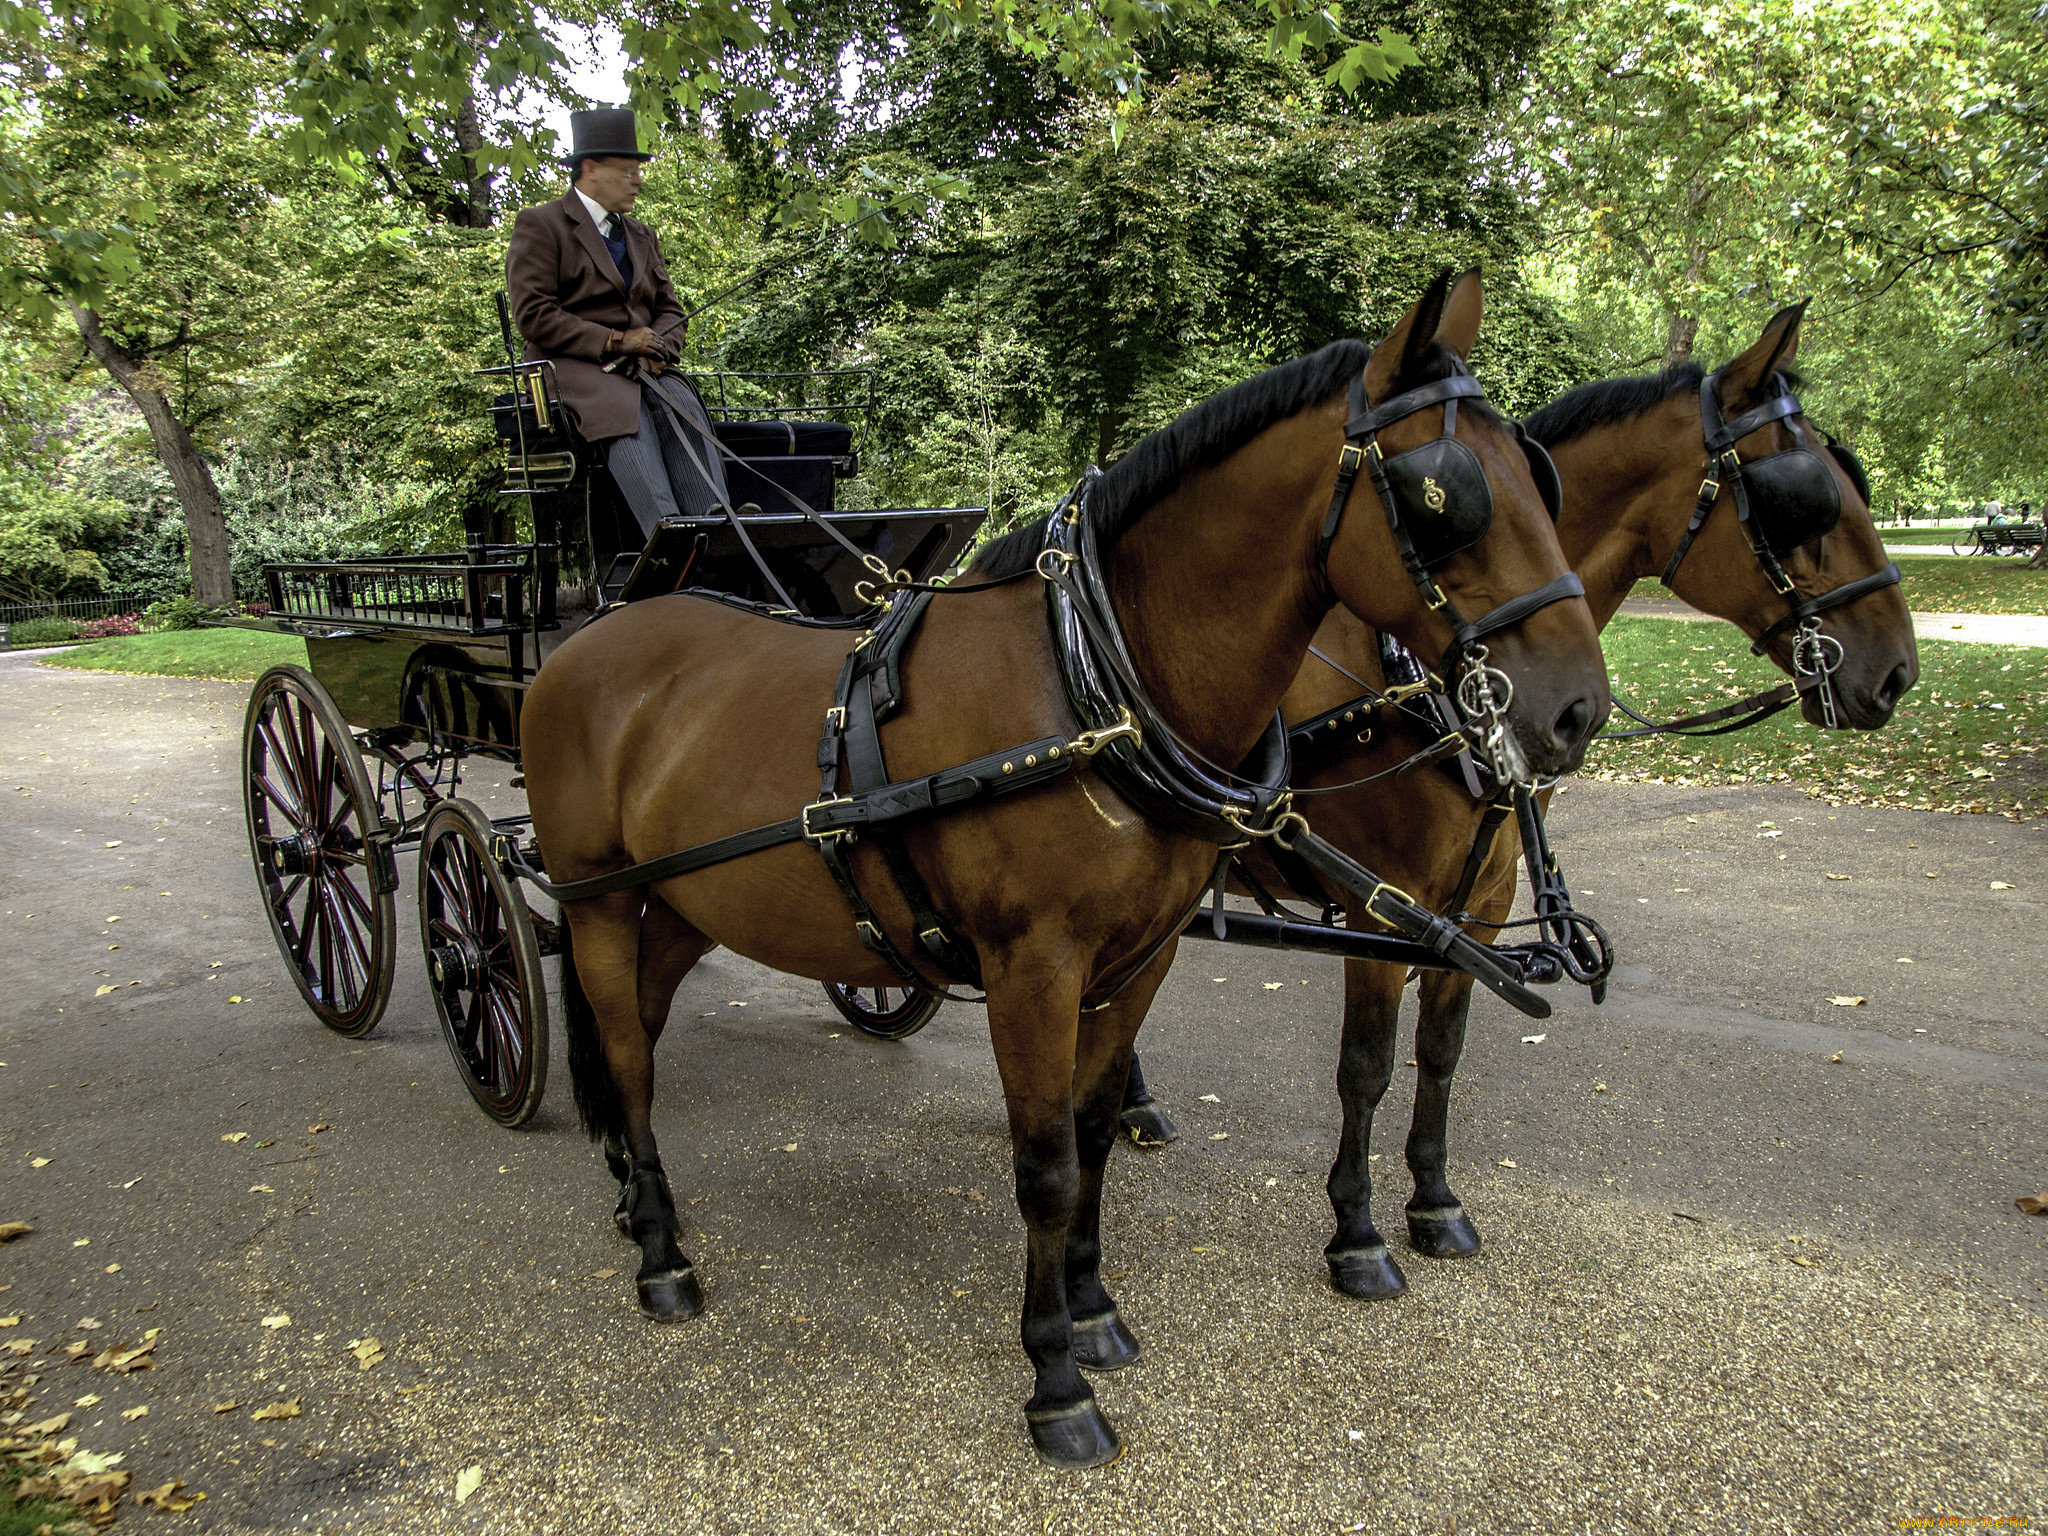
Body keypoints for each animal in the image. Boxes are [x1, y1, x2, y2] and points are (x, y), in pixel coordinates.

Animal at [520, 270, 1605, 1474]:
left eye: (1543, 476)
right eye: (1442, 495)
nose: (1575, 709)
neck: (1098, 692)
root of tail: (589, 635)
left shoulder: (1139, 959)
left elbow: (1091, 1138)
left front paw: (1092, 1310)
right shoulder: (1032, 969)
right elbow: (1041, 1163)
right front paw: (1054, 1382)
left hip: (685, 899)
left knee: (642, 1026)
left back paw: (633, 1196)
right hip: (601, 897)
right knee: (627, 1053)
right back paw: (661, 1254)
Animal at [1196, 296, 1916, 1302]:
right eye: (1803, 498)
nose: (1896, 672)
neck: (1427, 675)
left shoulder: (1481, 905)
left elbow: (1442, 1052)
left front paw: (1435, 1202)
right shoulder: (1386, 908)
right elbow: (1366, 1069)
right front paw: (1357, 1234)